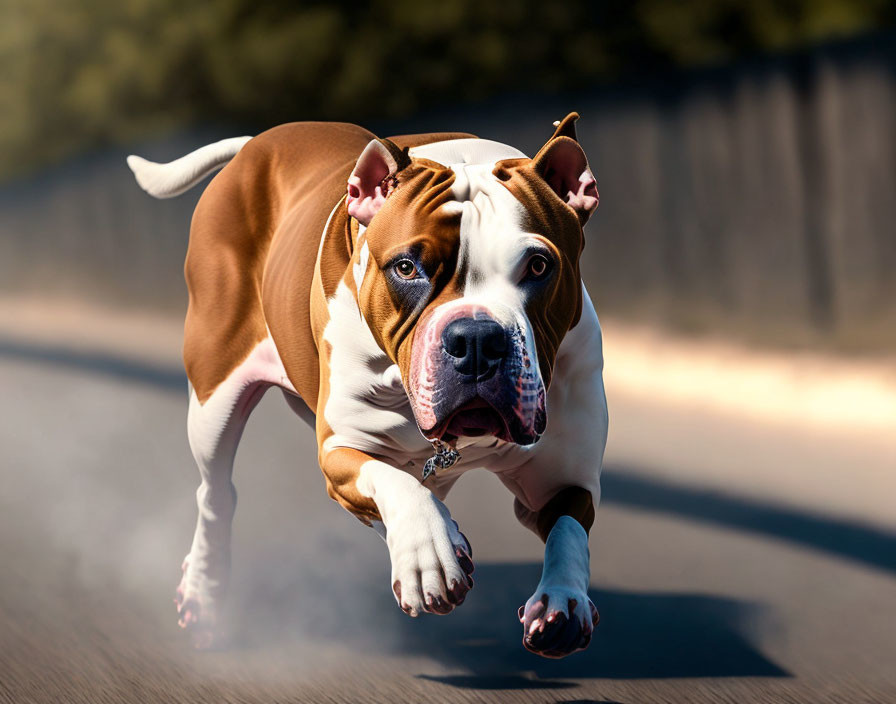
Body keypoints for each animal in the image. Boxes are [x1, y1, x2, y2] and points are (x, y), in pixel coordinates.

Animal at [128, 113, 608, 656]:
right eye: (406, 267)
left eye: (539, 266)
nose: (477, 339)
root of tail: (257, 143)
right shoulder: (341, 449)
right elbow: (393, 481)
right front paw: (428, 555)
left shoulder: (562, 476)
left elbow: (568, 531)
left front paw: (562, 599)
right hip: (214, 398)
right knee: (215, 493)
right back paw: (204, 594)